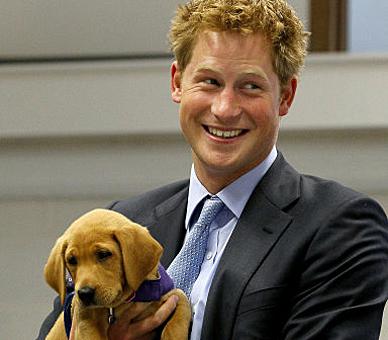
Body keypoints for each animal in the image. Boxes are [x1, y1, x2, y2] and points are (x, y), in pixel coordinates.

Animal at [44, 210, 192, 340]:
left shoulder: (164, 294)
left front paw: (174, 335)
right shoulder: (85, 318)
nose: (85, 293)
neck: (124, 301)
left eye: (103, 254)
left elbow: (181, 298)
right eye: (71, 260)